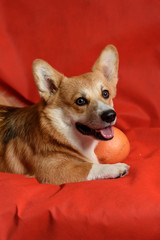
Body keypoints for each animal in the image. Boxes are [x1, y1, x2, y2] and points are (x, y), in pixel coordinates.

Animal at [0, 44, 129, 184]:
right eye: (80, 101)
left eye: (105, 93)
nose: (110, 115)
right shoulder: (52, 171)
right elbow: (89, 167)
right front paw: (115, 167)